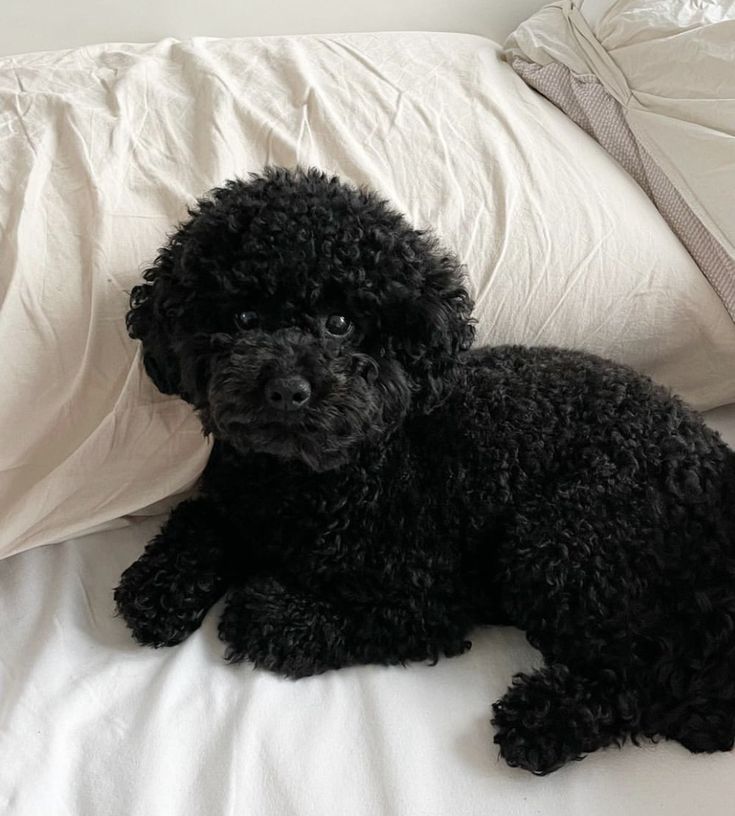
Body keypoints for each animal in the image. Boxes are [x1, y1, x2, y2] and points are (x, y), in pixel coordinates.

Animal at [115, 164, 735, 772]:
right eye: (243, 317)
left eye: (340, 322)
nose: (288, 389)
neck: (311, 480)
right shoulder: (236, 499)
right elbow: (201, 519)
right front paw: (160, 586)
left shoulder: (429, 597)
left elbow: (348, 618)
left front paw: (269, 610)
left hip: (559, 537)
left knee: (655, 676)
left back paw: (544, 721)